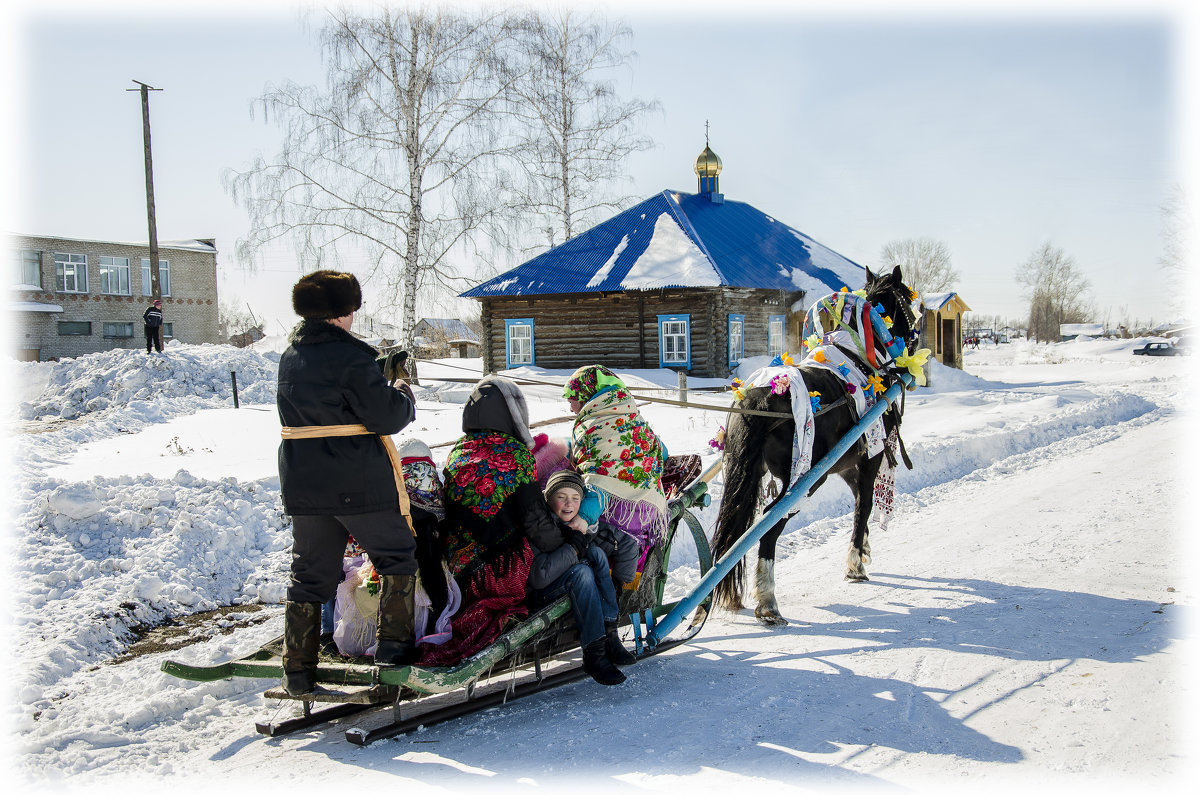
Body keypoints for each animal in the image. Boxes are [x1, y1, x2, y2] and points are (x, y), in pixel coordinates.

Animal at [705, 271, 921, 624]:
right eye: (907, 300)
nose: (916, 335)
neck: (861, 358)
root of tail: (761, 398)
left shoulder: (845, 465)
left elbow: (859, 501)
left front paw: (863, 549)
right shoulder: (870, 458)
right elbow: (864, 506)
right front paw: (856, 564)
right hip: (802, 479)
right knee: (768, 525)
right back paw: (768, 601)